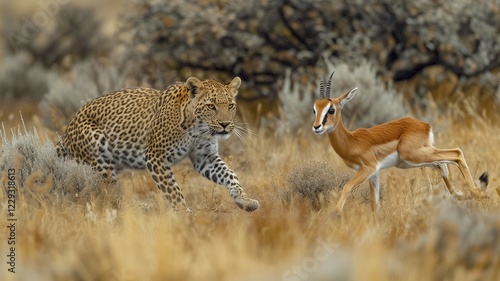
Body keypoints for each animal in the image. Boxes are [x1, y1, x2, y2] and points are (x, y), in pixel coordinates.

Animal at [56, 75, 260, 211]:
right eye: (211, 106)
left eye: (231, 106)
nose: (225, 124)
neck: (198, 130)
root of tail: (65, 134)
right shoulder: (155, 157)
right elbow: (174, 192)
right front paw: (186, 217)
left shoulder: (205, 157)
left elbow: (230, 175)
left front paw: (244, 199)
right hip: (98, 152)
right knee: (108, 193)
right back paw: (141, 208)